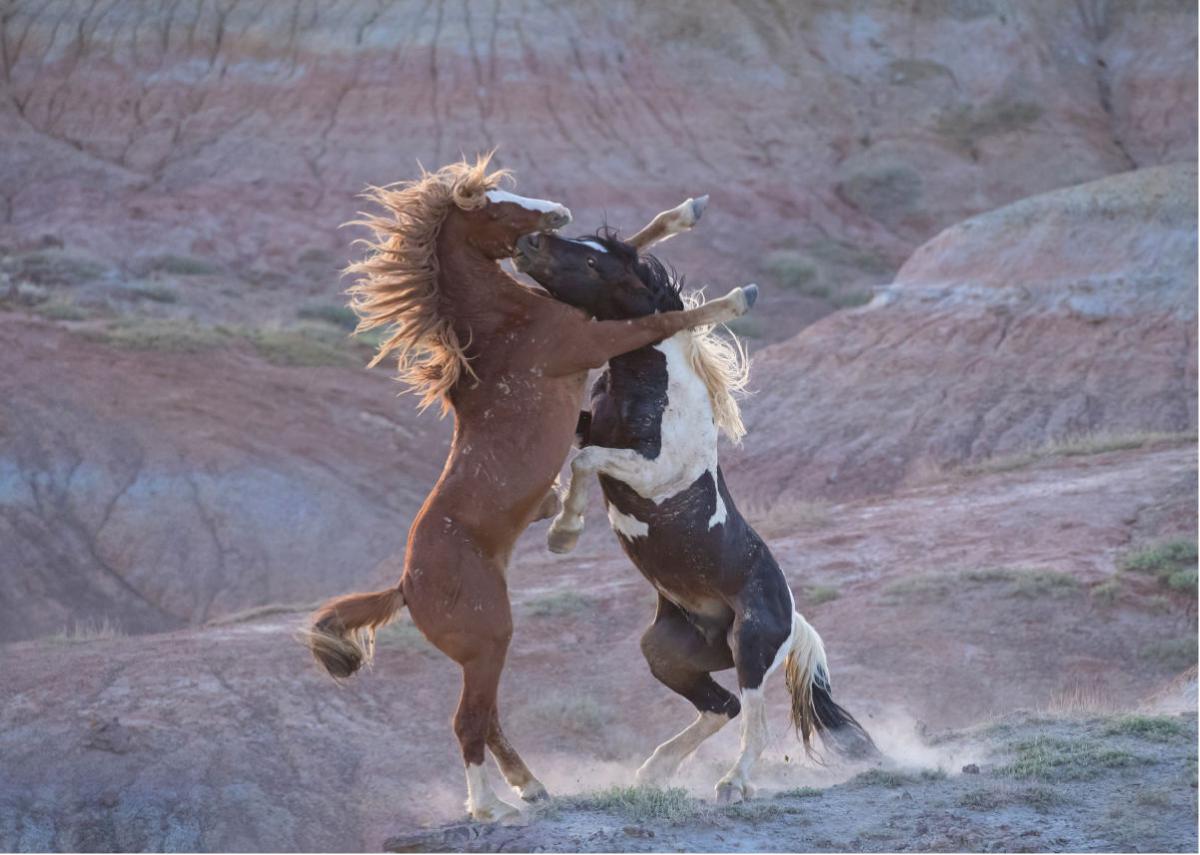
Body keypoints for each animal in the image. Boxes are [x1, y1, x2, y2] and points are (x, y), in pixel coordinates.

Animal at [298, 158, 748, 821]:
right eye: (494, 206)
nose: (554, 216)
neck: (504, 323)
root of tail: (406, 586)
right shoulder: (592, 338)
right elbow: (663, 318)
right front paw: (737, 297)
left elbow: (634, 244)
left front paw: (687, 211)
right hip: (490, 642)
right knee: (467, 723)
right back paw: (487, 808)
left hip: (485, 656)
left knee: (488, 721)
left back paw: (531, 788)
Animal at [511, 225, 878, 802]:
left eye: (595, 265)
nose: (529, 242)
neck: (652, 383)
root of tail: (792, 618)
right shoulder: (593, 427)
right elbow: (574, 445)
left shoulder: (653, 470)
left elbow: (585, 460)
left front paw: (563, 535)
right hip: (665, 651)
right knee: (721, 707)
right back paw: (653, 770)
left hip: (750, 646)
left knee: (753, 720)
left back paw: (732, 784)